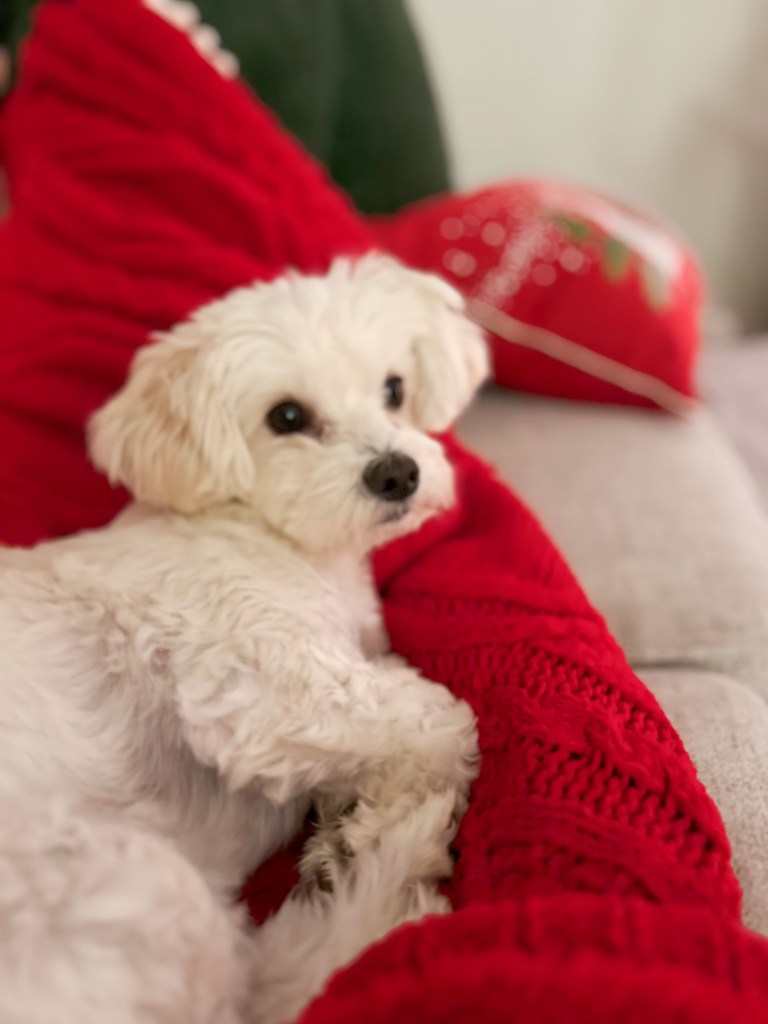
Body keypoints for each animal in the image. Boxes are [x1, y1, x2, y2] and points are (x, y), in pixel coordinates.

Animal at [0, 254, 488, 1024]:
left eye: (394, 389)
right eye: (286, 417)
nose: (397, 471)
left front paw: (351, 823)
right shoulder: (266, 682)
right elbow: (441, 720)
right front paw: (383, 821)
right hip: (124, 878)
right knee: (275, 983)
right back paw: (395, 881)